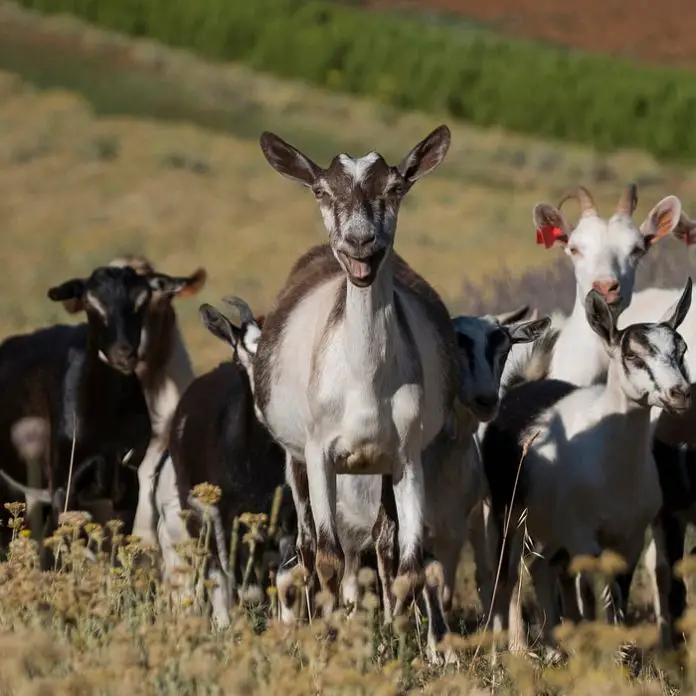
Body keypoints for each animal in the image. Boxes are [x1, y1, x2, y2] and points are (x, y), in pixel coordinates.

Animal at [251, 126, 460, 634]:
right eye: (322, 191)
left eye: (395, 188)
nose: (360, 243)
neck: (364, 386)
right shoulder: (319, 453)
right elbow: (327, 557)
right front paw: (328, 633)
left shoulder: (406, 457)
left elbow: (407, 567)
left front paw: (397, 639)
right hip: (296, 463)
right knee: (308, 548)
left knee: (383, 542)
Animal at [481, 279, 692, 657]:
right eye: (633, 355)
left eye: (681, 350)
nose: (679, 393)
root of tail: (520, 388)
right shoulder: (583, 538)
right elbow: (594, 592)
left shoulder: (629, 539)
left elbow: (617, 598)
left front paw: (621, 653)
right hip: (507, 512)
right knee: (509, 574)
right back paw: (514, 650)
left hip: (549, 527)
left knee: (540, 567)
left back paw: (554, 647)